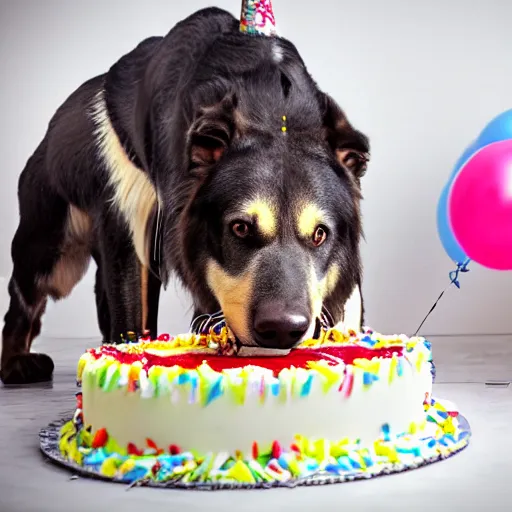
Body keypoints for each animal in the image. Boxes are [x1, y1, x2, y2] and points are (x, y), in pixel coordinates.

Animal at [0, 7, 368, 384]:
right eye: (239, 228)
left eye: (320, 235)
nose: (282, 331)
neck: (271, 111)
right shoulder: (133, 225)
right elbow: (133, 316)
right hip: (50, 252)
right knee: (22, 297)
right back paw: (16, 363)